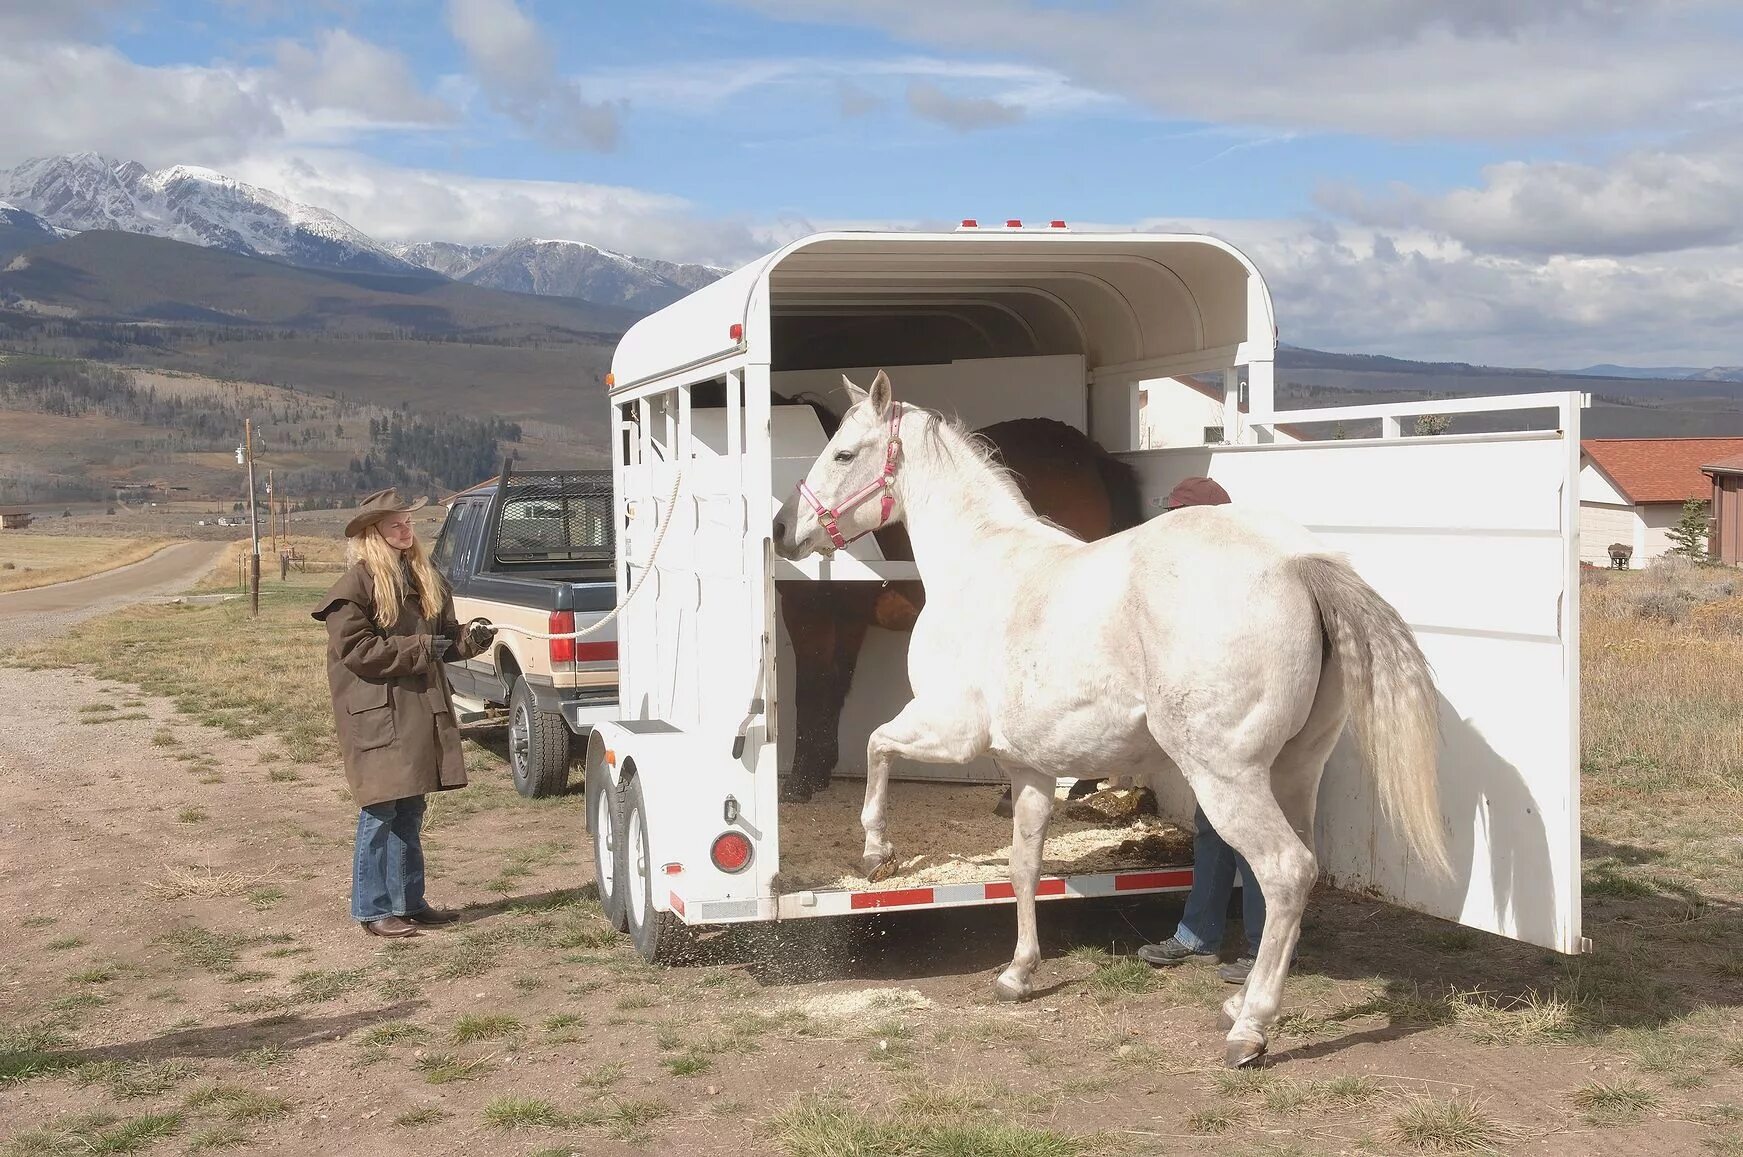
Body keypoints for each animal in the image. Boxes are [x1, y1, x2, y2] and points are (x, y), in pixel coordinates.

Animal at [773, 371, 1443, 1066]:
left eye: (842, 453)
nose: (783, 529)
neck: (981, 566)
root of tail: (1297, 564)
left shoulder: (951, 731)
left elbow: (876, 747)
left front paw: (876, 851)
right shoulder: (1030, 769)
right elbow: (1023, 865)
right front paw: (1018, 973)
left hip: (1226, 777)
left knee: (1286, 872)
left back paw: (1250, 1029)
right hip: (1292, 771)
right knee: (1287, 875)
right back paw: (1242, 1000)